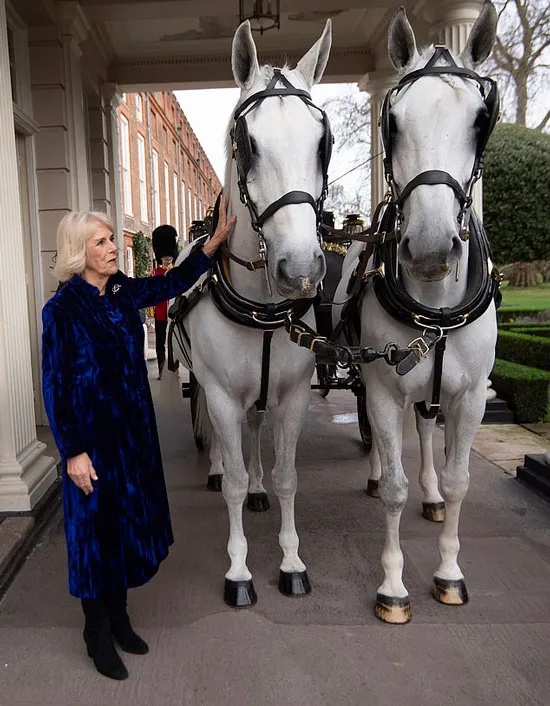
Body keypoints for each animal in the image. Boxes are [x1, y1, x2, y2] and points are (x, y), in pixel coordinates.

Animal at [175, 22, 334, 604]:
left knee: (255, 427)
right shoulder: (220, 393)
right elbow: (237, 482)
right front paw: (239, 571)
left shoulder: (292, 395)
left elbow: (287, 476)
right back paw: (219, 467)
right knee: (221, 435)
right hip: (204, 382)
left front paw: (291, 562)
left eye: (323, 141)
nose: (301, 267)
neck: (262, 309)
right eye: (245, 142)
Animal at [334, 4, 502, 620]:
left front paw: (449, 573)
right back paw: (380, 473)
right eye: (394, 121)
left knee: (428, 427)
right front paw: (393, 584)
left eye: (481, 119)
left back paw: (429, 495)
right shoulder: (384, 387)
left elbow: (458, 481)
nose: (430, 250)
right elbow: (395, 483)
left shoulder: (472, 394)